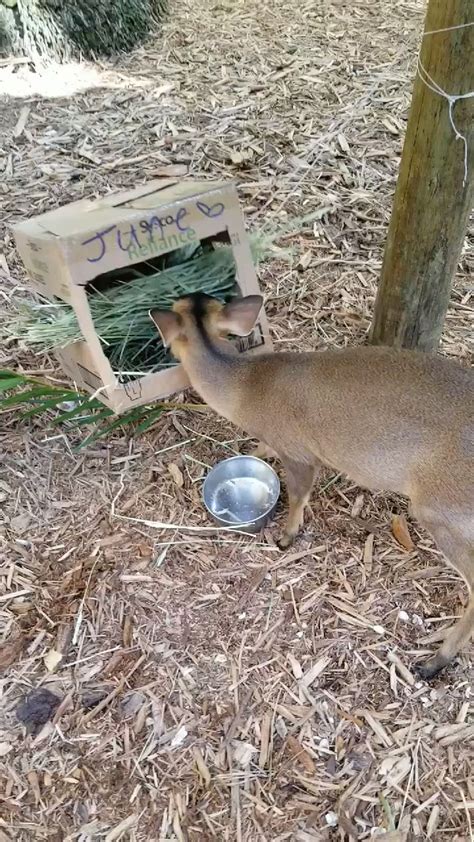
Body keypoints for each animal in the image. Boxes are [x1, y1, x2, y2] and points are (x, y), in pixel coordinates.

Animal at [150, 294, 472, 676]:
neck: (245, 388)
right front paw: (251, 453)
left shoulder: (298, 451)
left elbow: (298, 495)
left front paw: (286, 537)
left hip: (443, 509)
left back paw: (435, 660)